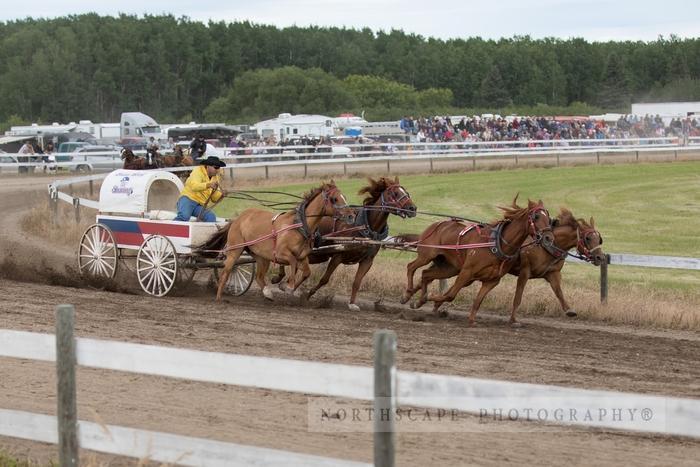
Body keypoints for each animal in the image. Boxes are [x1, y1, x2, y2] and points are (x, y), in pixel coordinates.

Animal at [197, 181, 356, 302]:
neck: (298, 225)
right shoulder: (281, 254)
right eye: (334, 199)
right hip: (235, 251)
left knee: (259, 276)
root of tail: (238, 219)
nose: (351, 216)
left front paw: (285, 286)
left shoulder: (302, 256)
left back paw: (267, 293)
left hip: (261, 256)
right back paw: (219, 297)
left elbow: (306, 272)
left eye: (344, 197)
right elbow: (292, 263)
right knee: (225, 273)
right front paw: (288, 286)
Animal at [272, 176, 416, 310]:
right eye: (395, 193)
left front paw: (352, 303)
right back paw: (279, 278)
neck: (365, 228)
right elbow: (324, 279)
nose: (412, 208)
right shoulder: (338, 256)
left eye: (406, 191)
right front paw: (306, 294)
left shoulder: (367, 261)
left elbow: (357, 282)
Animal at [402, 197, 556, 326]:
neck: (495, 244)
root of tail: (437, 224)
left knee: (426, 274)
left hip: (449, 268)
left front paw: (471, 320)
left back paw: (419, 300)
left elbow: (477, 301)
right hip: (426, 255)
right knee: (411, 267)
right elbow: (450, 295)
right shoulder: (466, 272)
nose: (549, 238)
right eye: (536, 216)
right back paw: (408, 293)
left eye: (549, 218)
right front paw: (433, 297)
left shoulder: (492, 280)